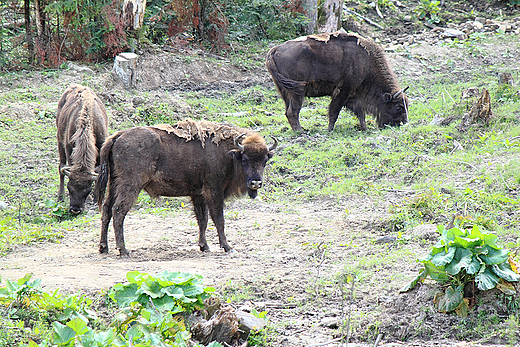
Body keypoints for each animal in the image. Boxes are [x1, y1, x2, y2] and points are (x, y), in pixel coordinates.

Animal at [56, 84, 108, 215]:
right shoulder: (69, 148)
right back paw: (60, 197)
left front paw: (95, 199)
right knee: (60, 167)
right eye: (69, 187)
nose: (75, 209)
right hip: (60, 141)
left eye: (87, 190)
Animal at [95, 119, 278, 258]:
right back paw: (123, 250)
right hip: (131, 185)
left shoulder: (198, 195)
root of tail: (117, 136)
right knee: (118, 210)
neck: (230, 153)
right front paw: (227, 247)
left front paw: (204, 246)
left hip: (114, 183)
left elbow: (203, 220)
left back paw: (104, 248)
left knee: (107, 209)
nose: (255, 183)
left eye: (264, 161)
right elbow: (218, 219)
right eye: (245, 159)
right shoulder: (214, 191)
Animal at [266, 31, 408, 133]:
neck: (367, 62)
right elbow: (334, 111)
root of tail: (274, 50)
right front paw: (329, 130)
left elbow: (360, 113)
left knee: (287, 111)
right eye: (398, 107)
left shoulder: (355, 95)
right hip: (297, 91)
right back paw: (300, 131)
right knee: (293, 111)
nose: (404, 123)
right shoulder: (343, 91)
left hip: (284, 91)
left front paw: (364, 128)